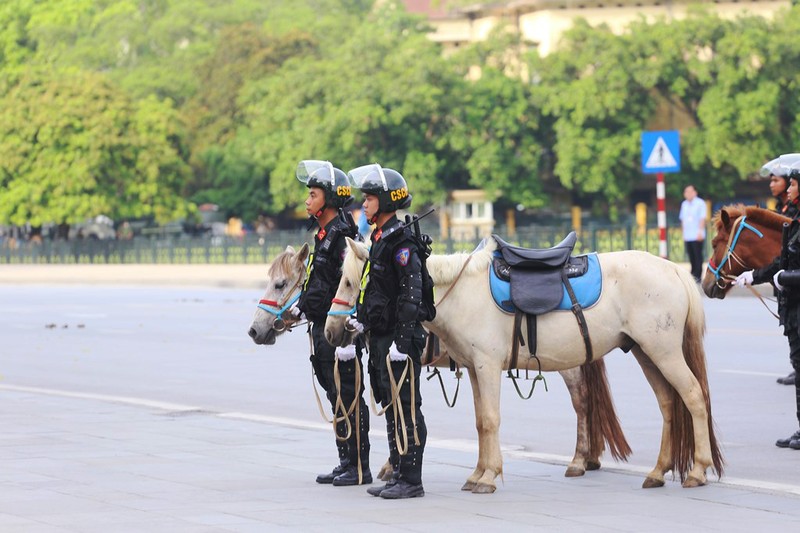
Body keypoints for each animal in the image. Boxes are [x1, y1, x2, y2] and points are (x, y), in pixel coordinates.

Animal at [250, 243, 632, 484]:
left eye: (280, 283)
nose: (255, 330)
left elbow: (398, 411)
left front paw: (392, 467)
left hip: (566, 361)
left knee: (582, 402)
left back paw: (579, 460)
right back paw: (589, 459)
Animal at [324, 236, 724, 490]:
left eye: (350, 281)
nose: (331, 330)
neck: (457, 293)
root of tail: (674, 270)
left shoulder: (486, 366)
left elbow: (488, 420)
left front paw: (488, 477)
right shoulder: (474, 369)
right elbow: (480, 422)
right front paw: (478, 473)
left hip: (662, 351)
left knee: (692, 397)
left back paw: (697, 470)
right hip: (644, 351)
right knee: (667, 404)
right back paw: (656, 470)